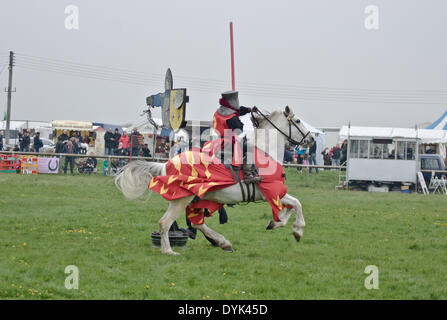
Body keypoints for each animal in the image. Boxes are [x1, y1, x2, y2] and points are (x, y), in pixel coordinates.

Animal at [117, 106, 316, 256]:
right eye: (298, 121)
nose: (312, 139)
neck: (266, 152)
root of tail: (166, 164)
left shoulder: (275, 193)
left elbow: (291, 207)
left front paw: (276, 223)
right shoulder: (271, 192)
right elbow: (297, 204)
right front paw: (297, 230)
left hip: (193, 199)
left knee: (196, 222)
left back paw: (223, 243)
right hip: (181, 199)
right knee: (165, 222)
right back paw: (169, 251)